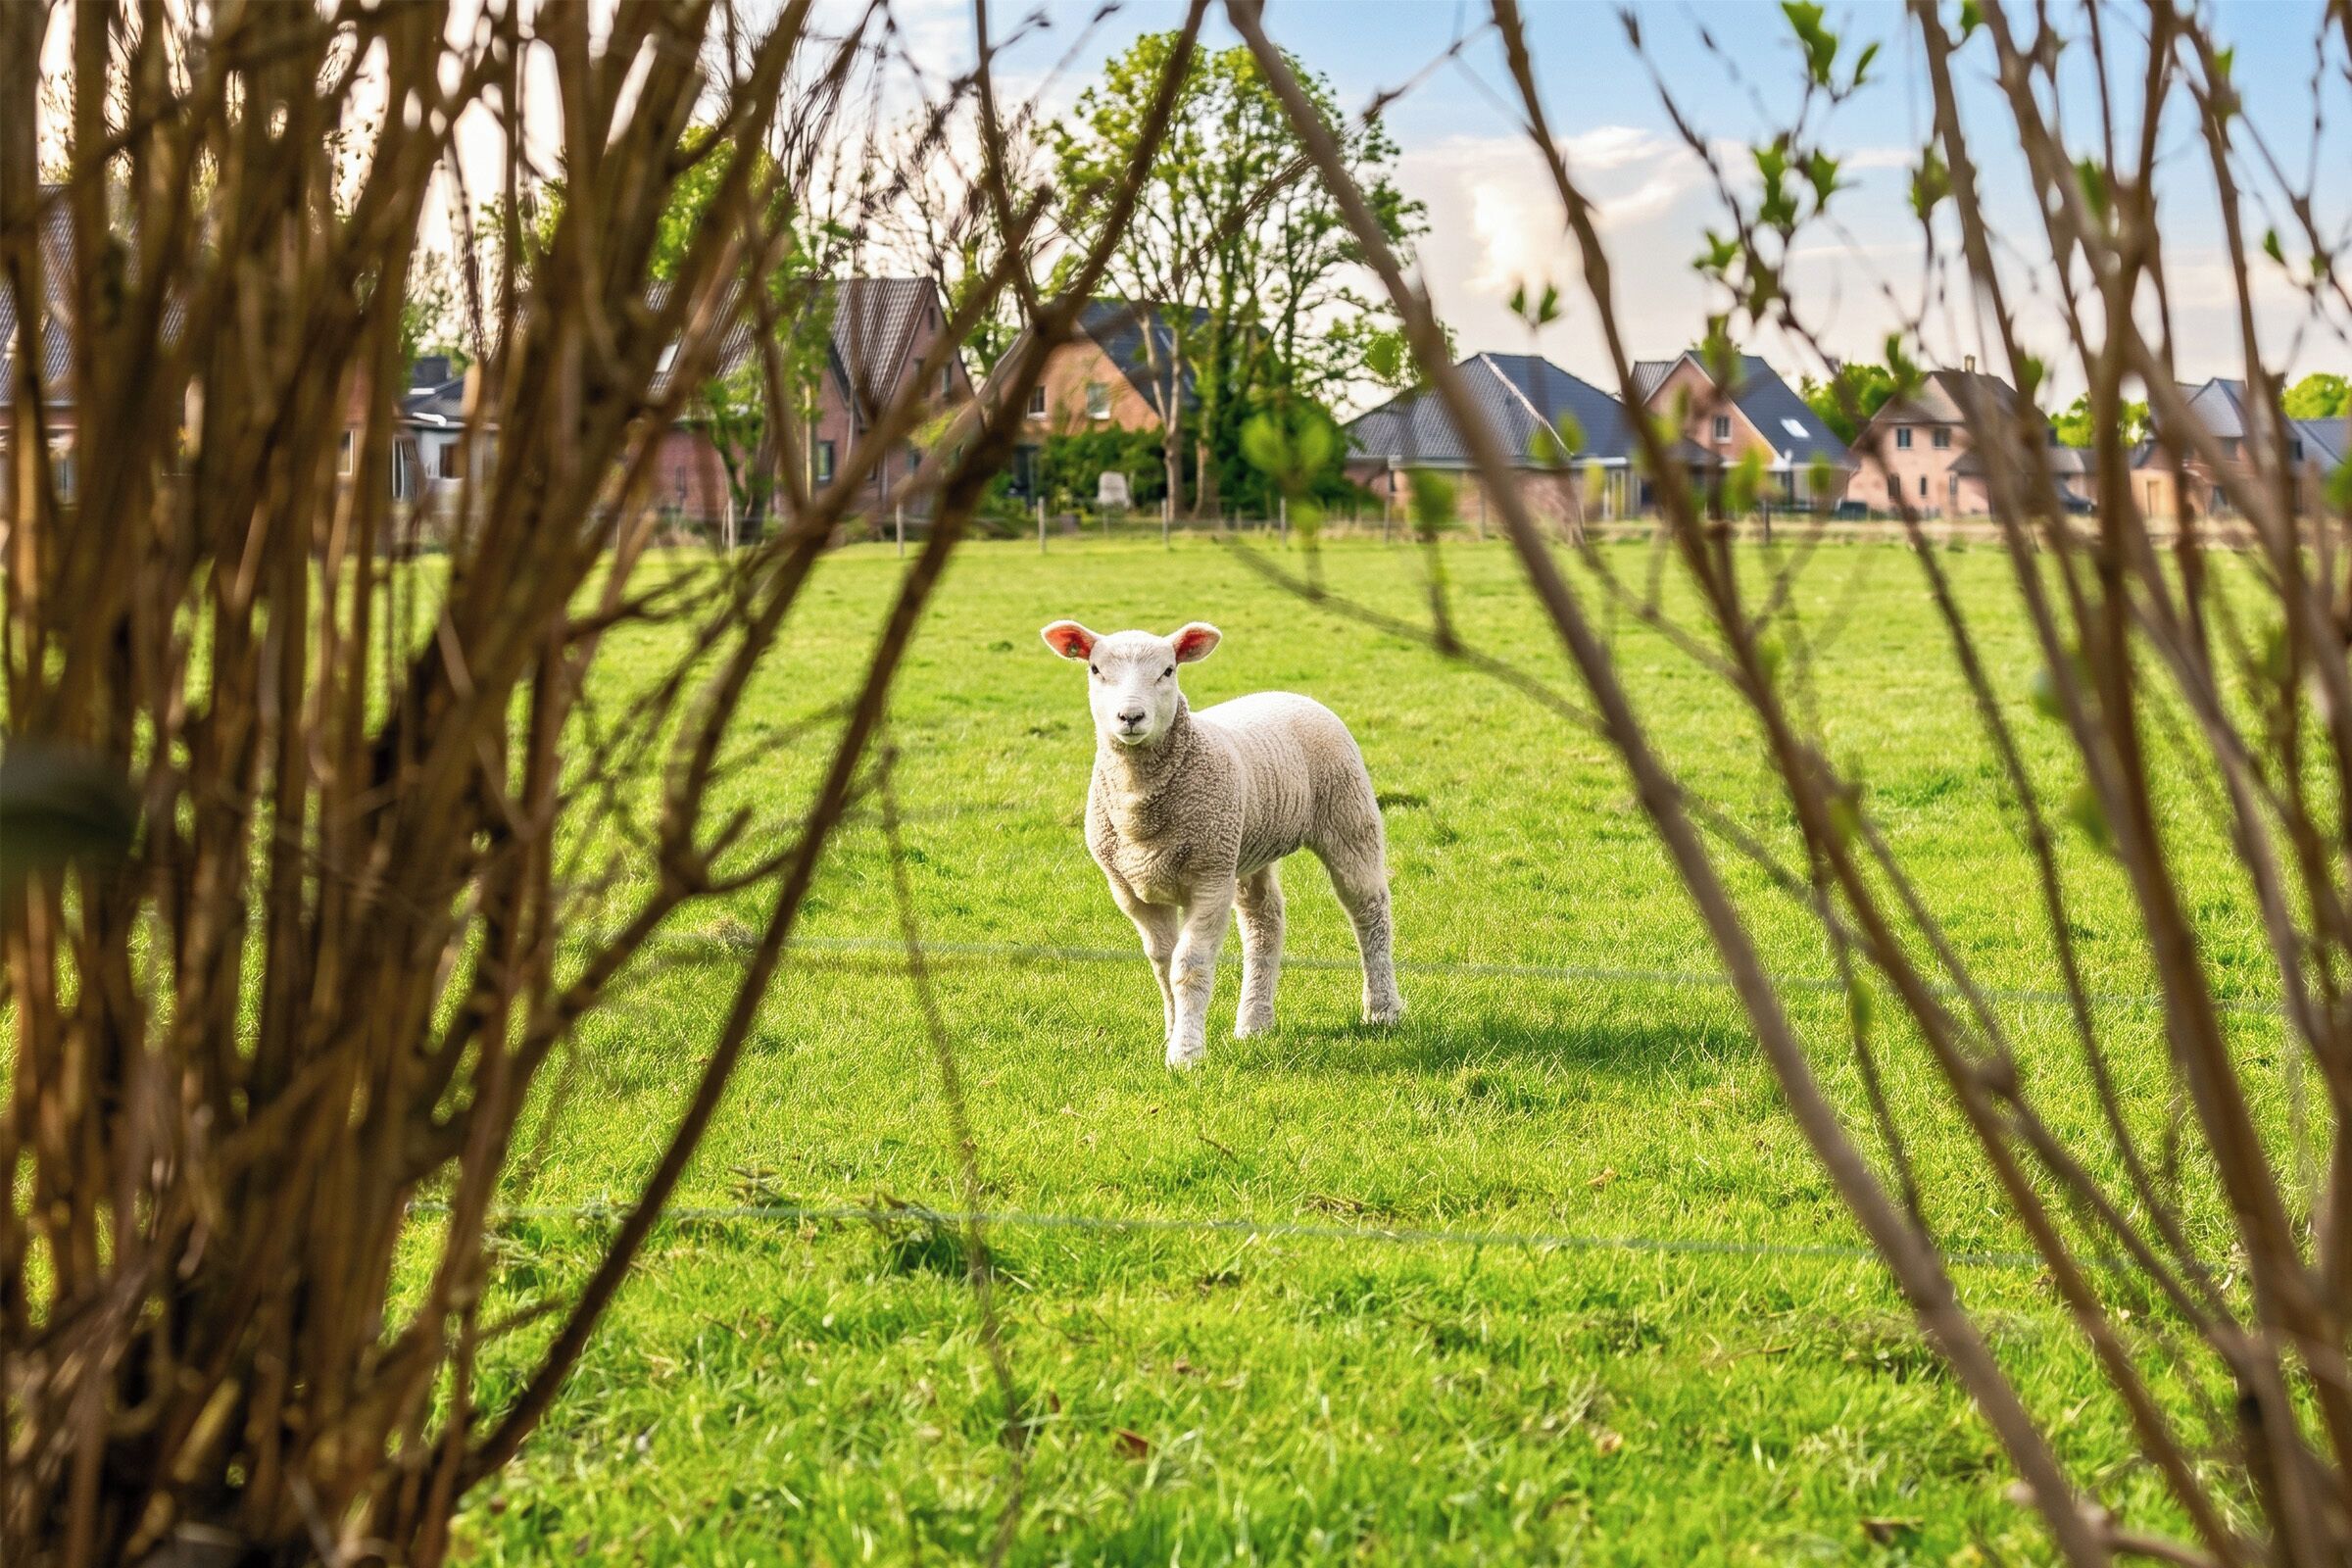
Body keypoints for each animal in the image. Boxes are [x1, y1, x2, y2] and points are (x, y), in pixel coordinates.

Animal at [1040, 618, 1404, 1068]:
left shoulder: (1210, 879)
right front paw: (1173, 1034)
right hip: (1247, 847)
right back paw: (1255, 1022)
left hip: (1348, 815)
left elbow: (1189, 965)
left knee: (1369, 909)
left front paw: (1186, 1054)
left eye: (1168, 671)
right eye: (1095, 669)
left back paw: (1382, 1010)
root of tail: (1286, 694)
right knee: (1265, 921)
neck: (1139, 811)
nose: (1131, 716)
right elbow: (1162, 963)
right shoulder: (1131, 891)